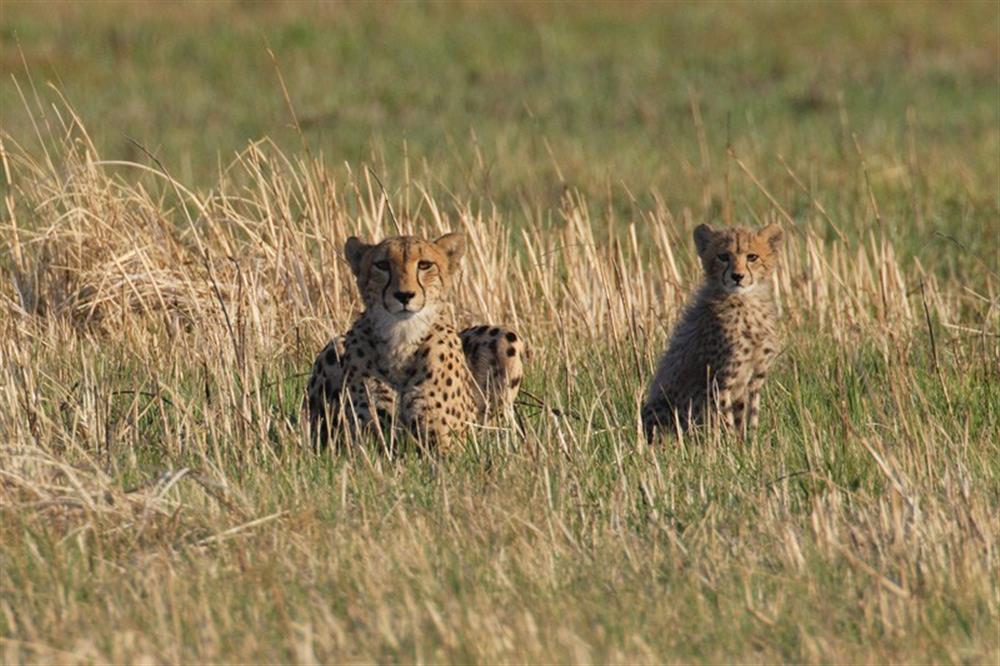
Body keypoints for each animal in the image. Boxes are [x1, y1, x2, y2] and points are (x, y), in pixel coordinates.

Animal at [308, 230, 528, 452]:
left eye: (424, 265)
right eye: (382, 265)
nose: (404, 295)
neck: (402, 338)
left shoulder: (447, 443)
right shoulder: (365, 439)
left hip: (506, 336)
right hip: (333, 347)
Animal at [644, 223, 784, 440]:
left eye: (752, 257)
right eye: (723, 256)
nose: (737, 276)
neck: (746, 302)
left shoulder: (754, 380)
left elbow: (749, 419)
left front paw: (750, 445)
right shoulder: (718, 382)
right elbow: (726, 420)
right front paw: (730, 446)